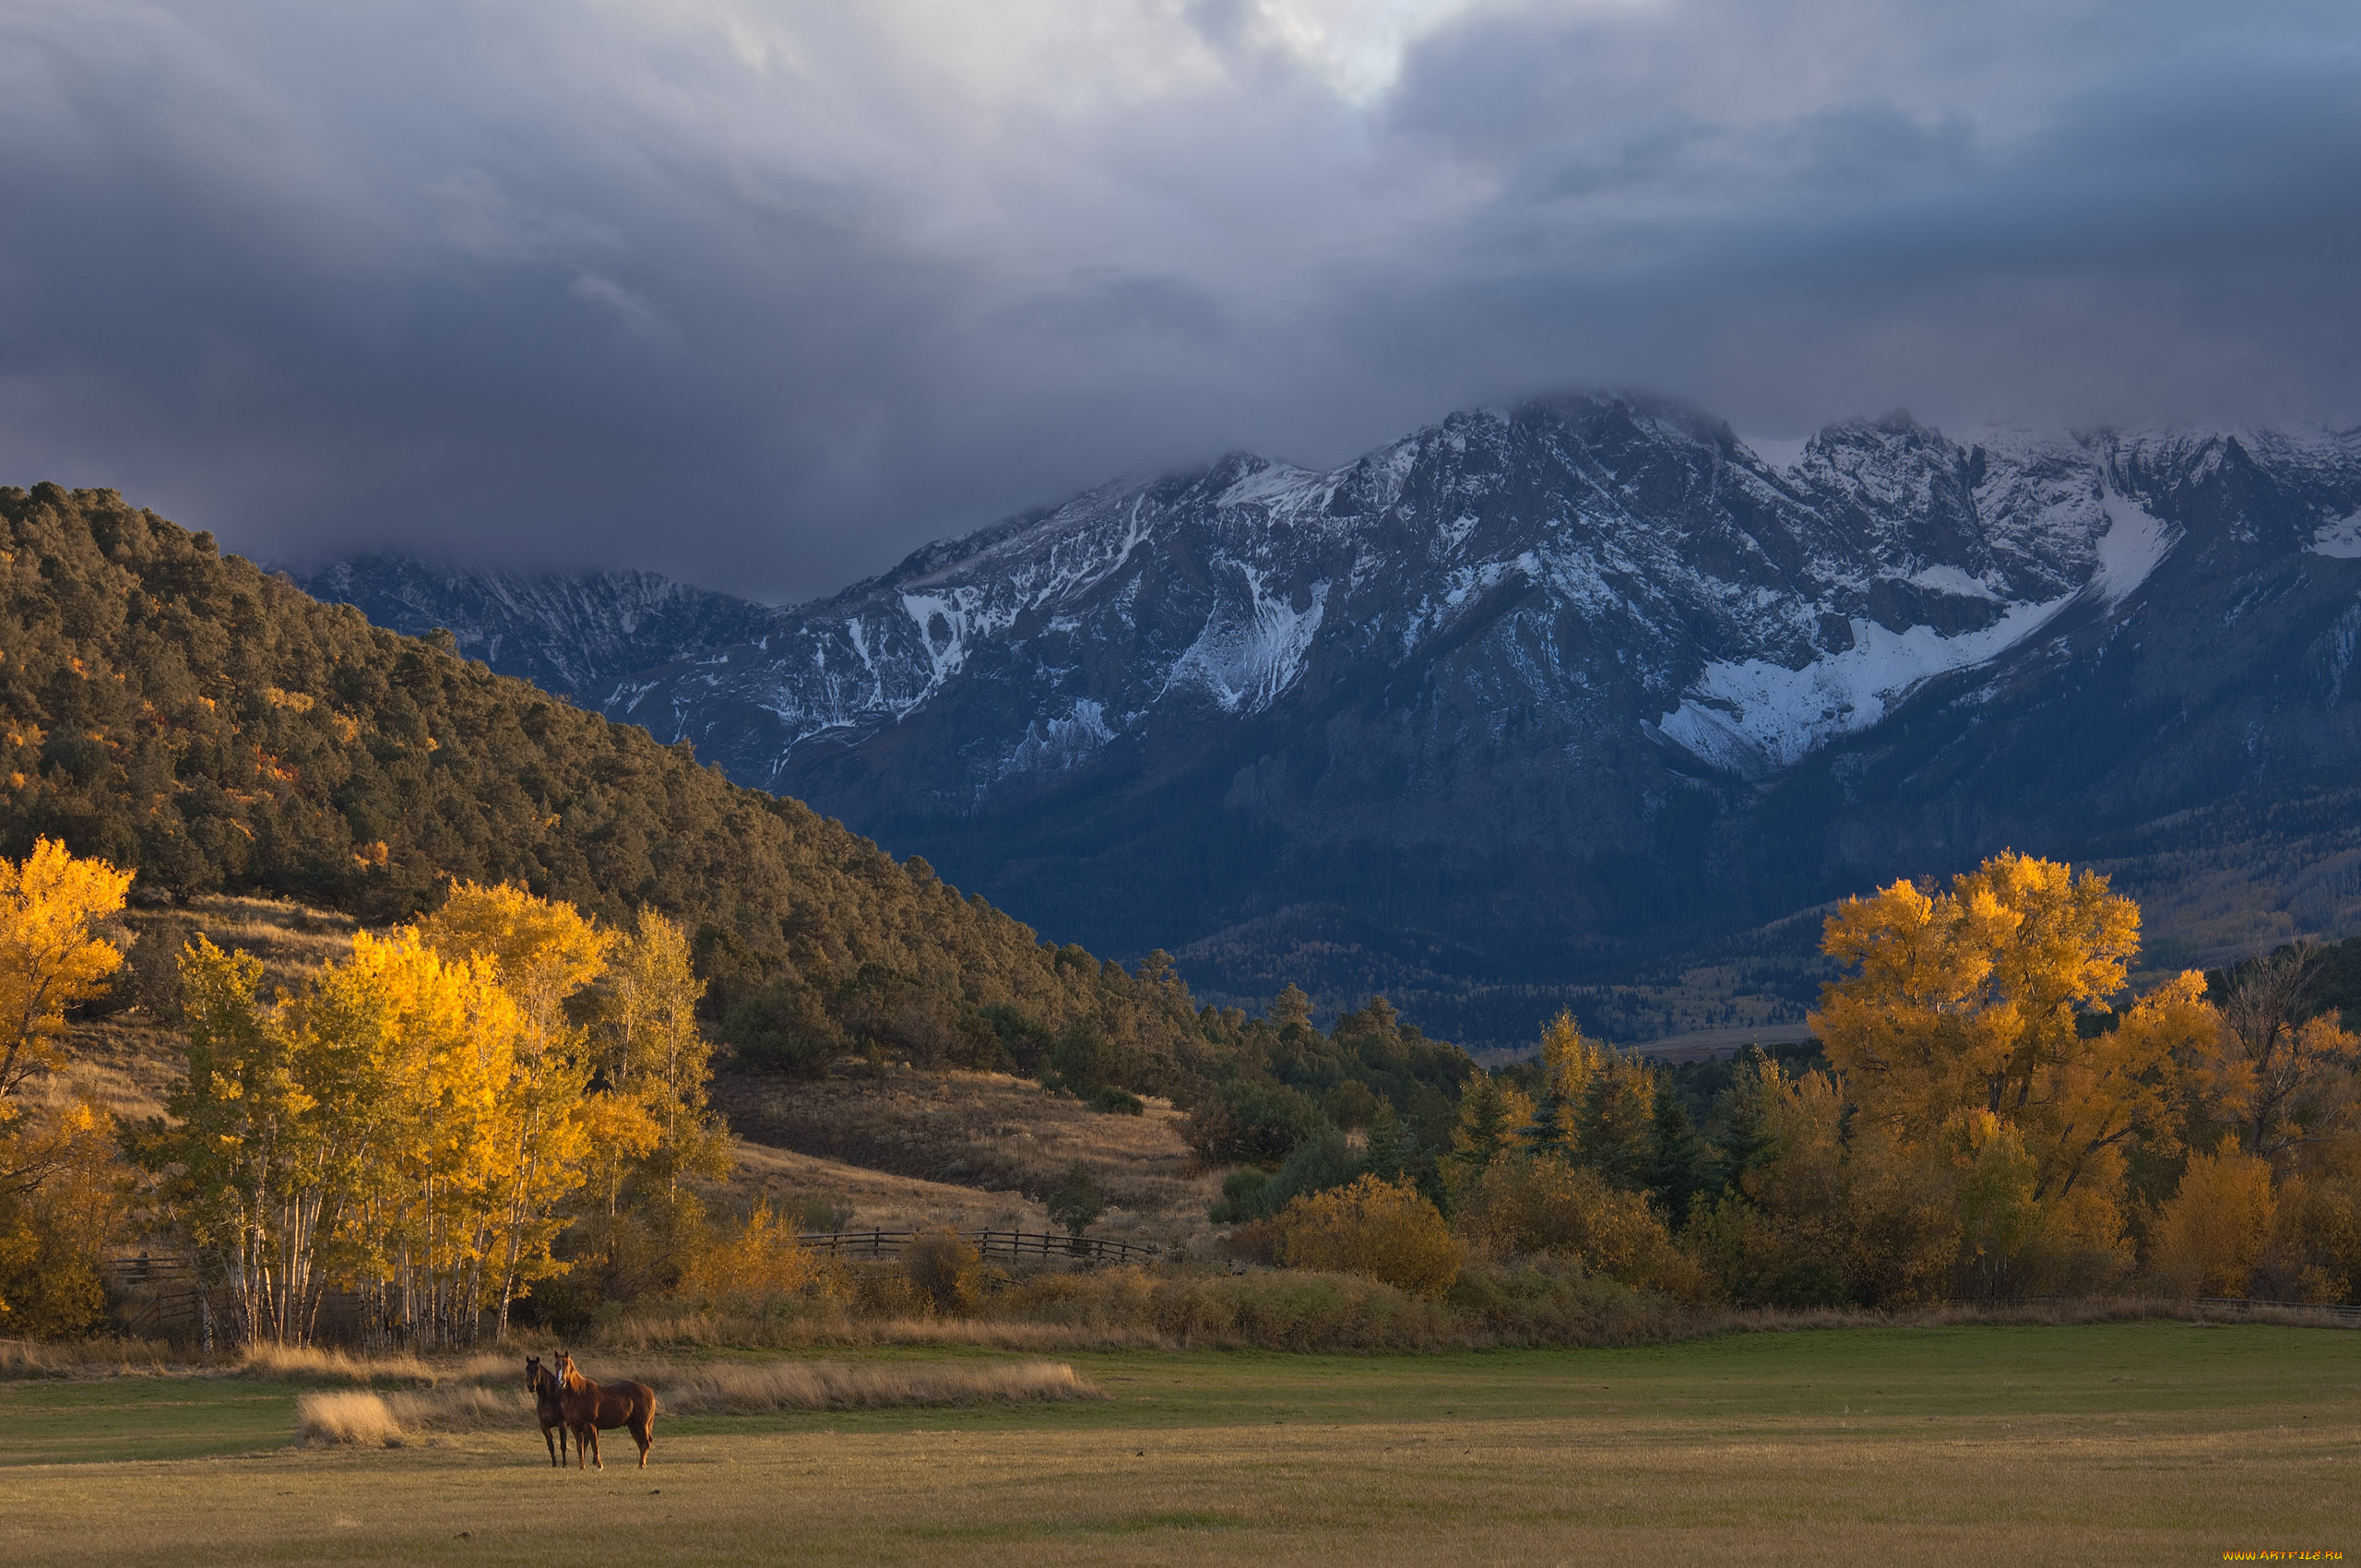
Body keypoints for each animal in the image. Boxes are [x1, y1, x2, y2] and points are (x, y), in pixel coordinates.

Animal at [552, 1350, 656, 1473]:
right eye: (556, 1364)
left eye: (567, 1364)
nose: (561, 1382)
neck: (578, 1393)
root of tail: (650, 1392)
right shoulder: (574, 1427)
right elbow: (580, 1447)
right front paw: (582, 1467)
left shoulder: (590, 1425)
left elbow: (594, 1445)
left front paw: (599, 1466)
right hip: (633, 1426)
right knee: (641, 1443)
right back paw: (642, 1464)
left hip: (641, 1424)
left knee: (647, 1442)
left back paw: (642, 1465)